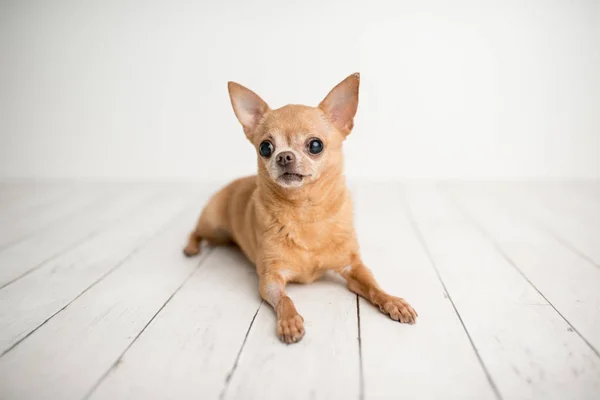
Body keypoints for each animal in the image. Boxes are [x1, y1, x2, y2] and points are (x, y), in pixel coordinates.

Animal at [183, 74, 418, 344]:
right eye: (265, 147)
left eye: (315, 145)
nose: (284, 156)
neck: (305, 211)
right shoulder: (271, 279)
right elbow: (285, 299)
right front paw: (289, 321)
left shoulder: (353, 267)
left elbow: (374, 286)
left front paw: (394, 301)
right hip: (213, 225)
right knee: (195, 231)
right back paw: (190, 248)